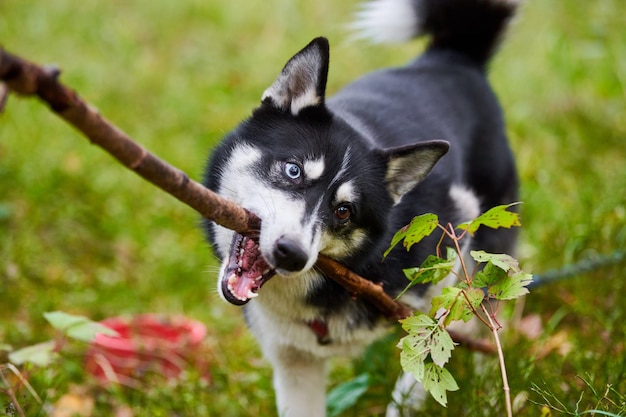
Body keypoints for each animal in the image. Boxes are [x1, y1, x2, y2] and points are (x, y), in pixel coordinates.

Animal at [204, 0, 516, 414]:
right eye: (293, 170)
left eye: (344, 211)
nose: (291, 254)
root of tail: (452, 59)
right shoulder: (293, 363)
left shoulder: (453, 235)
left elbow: (427, 355)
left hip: (488, 249)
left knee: (488, 313)